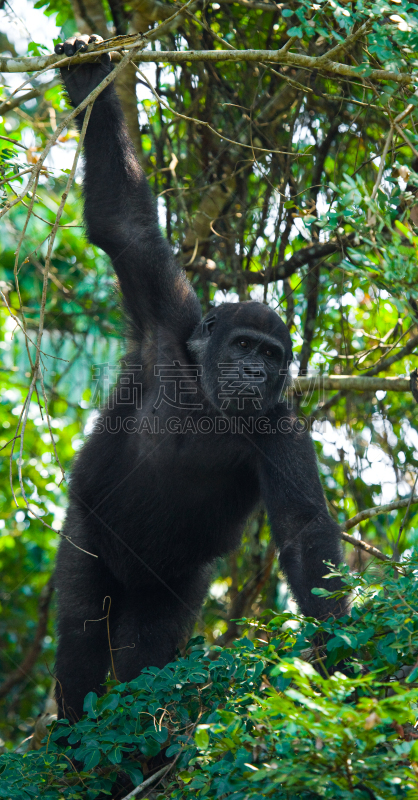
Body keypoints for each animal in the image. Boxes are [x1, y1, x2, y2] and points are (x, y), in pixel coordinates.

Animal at [53, 37, 346, 720]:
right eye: (242, 345)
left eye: (270, 356)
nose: (252, 369)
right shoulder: (167, 315)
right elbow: (124, 225)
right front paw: (89, 80)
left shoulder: (282, 427)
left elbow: (303, 533)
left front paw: (344, 650)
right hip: (88, 534)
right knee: (83, 629)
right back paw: (75, 735)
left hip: (171, 588)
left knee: (146, 650)